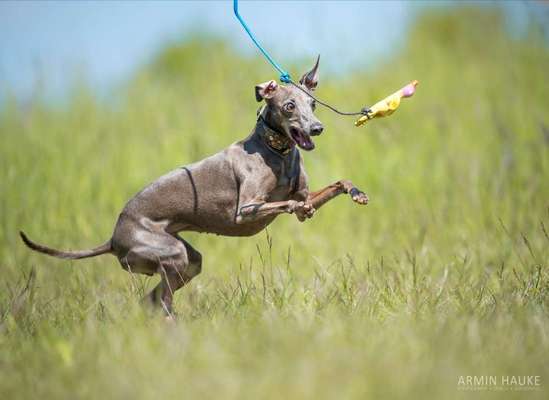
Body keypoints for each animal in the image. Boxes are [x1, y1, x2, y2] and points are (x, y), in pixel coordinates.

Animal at [20, 57, 368, 318]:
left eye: (313, 104)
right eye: (289, 106)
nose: (317, 128)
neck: (275, 151)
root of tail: (114, 237)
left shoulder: (306, 194)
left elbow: (337, 184)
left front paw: (357, 193)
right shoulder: (245, 210)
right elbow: (284, 204)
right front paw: (297, 205)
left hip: (187, 261)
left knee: (152, 300)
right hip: (170, 254)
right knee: (161, 301)